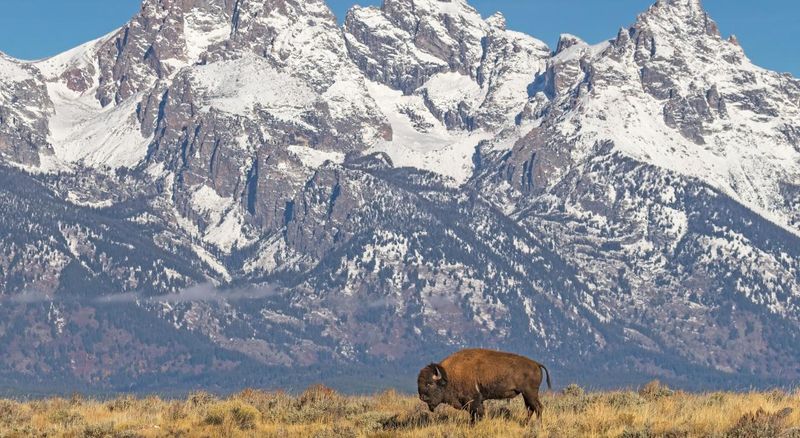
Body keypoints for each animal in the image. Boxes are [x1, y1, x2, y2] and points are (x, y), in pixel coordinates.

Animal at [418, 348, 552, 422]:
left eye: (430, 383)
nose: (422, 397)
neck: (449, 375)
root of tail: (536, 364)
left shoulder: (473, 401)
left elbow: (476, 414)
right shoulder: (478, 401)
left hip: (530, 393)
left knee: (538, 408)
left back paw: (537, 425)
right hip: (526, 394)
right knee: (531, 409)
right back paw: (525, 424)